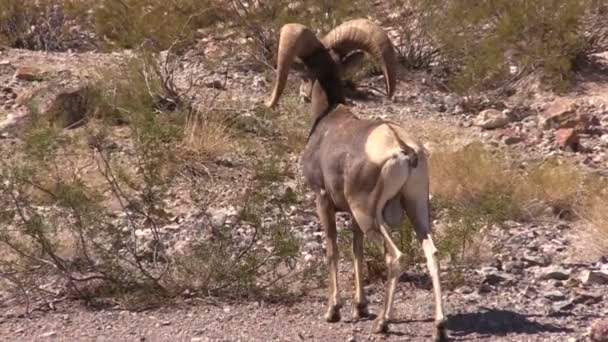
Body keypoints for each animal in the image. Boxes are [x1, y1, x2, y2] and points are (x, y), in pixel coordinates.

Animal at [264, 19, 446, 340]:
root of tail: (403, 150)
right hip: (416, 208)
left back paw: (383, 323)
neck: (326, 120)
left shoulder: (323, 200)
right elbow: (357, 251)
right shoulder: (350, 214)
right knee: (432, 254)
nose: (302, 93)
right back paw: (439, 327)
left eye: (305, 71)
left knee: (395, 257)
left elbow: (333, 250)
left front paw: (333, 311)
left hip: (370, 215)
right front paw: (360, 308)